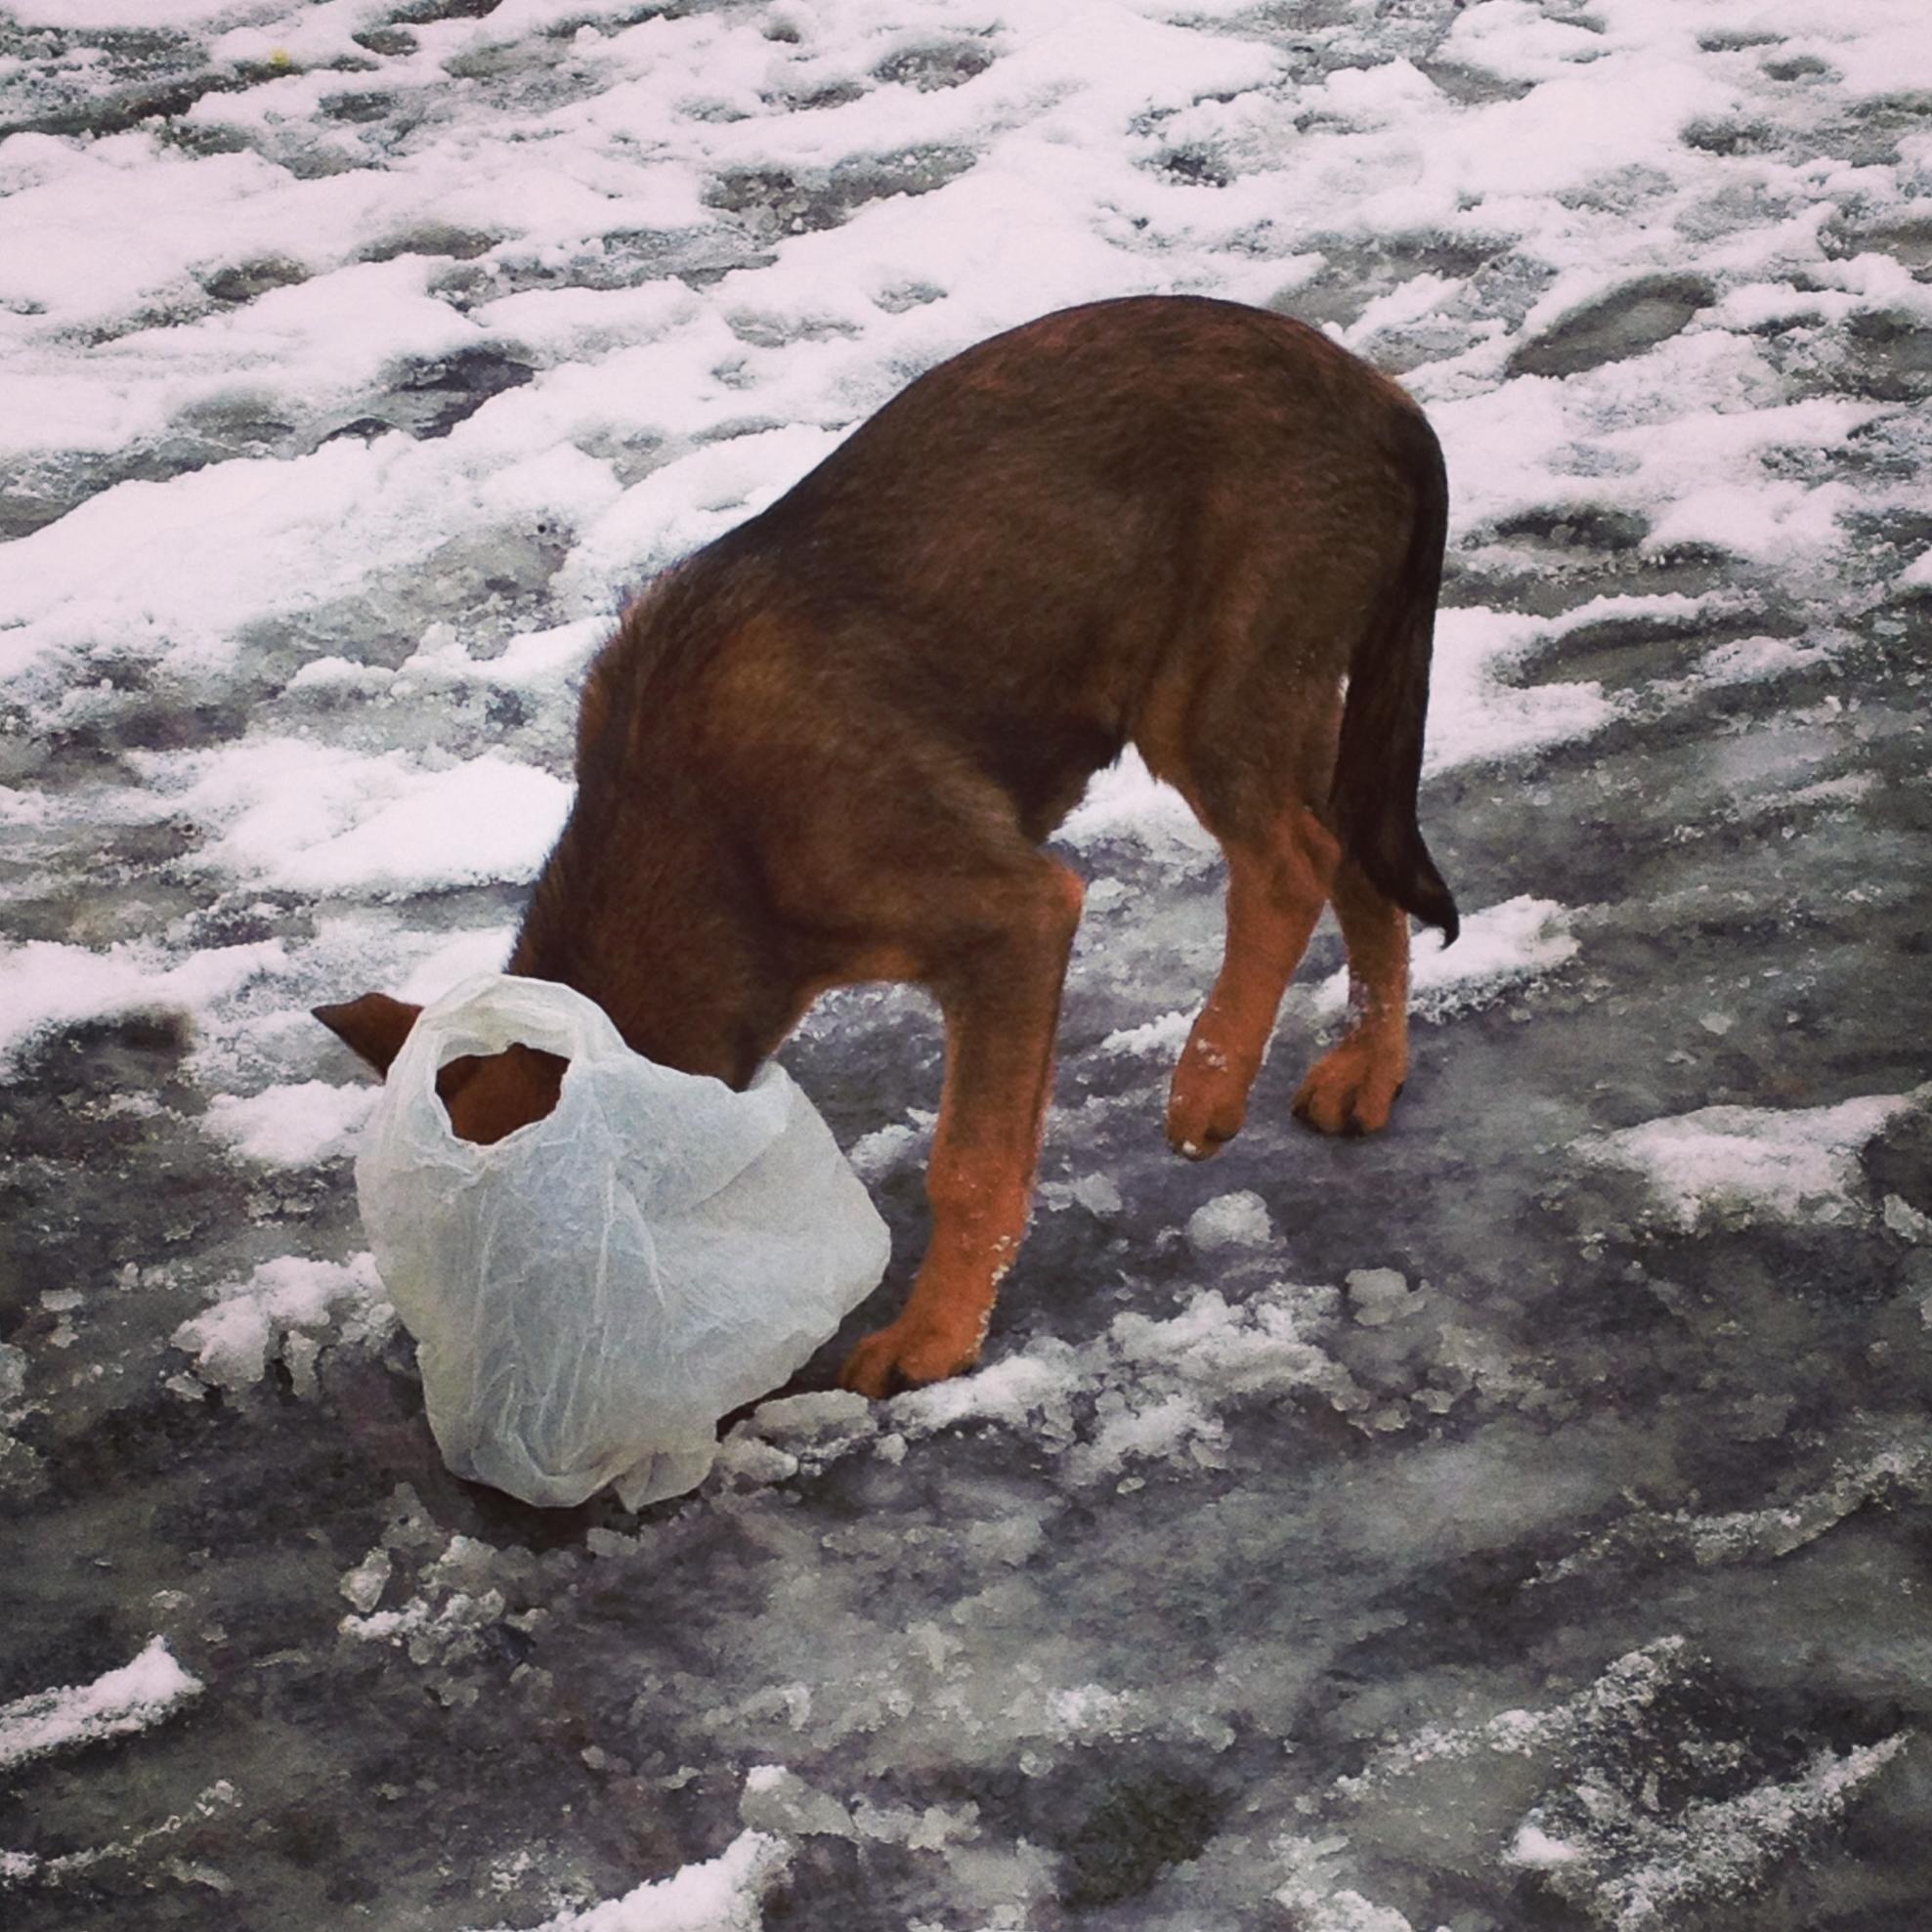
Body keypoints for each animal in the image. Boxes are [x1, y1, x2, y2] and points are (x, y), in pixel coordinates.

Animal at [317, 293, 1452, 1398]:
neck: (698, 840)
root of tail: (1387, 401)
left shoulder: (1016, 919)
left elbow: (971, 1164)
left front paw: (934, 1340)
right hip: (1294, 707)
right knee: (1359, 852)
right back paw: (1368, 1072)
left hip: (1207, 698)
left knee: (1292, 863)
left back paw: (1208, 1085)